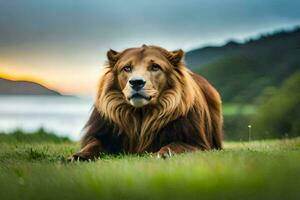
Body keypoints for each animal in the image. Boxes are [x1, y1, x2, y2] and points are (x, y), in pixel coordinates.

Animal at [68, 45, 223, 161]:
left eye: (155, 67)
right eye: (127, 68)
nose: (136, 82)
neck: (141, 114)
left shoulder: (197, 143)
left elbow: (175, 145)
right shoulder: (102, 134)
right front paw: (77, 156)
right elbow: (93, 144)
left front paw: (163, 154)